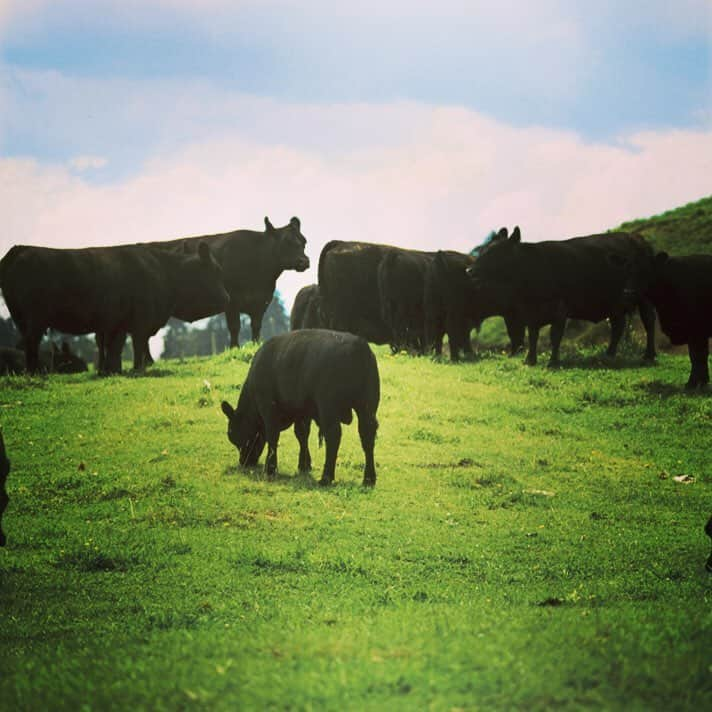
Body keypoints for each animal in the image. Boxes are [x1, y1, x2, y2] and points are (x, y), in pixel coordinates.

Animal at [0, 243, 227, 376]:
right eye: (215, 270)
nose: (227, 297)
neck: (164, 272)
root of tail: (20, 249)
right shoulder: (139, 322)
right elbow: (136, 345)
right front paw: (137, 369)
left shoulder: (117, 324)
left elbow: (115, 348)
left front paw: (112, 370)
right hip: (34, 320)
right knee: (31, 344)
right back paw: (35, 373)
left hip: (22, 321)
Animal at [221, 330, 378, 486]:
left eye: (237, 437)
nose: (244, 461)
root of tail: (358, 345)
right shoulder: (302, 411)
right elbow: (302, 434)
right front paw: (304, 464)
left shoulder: (268, 409)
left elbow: (273, 437)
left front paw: (270, 468)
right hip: (367, 407)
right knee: (367, 435)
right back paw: (369, 478)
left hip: (328, 408)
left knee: (333, 435)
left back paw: (326, 477)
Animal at [468, 228, 656, 368]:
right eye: (483, 250)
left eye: (495, 252)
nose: (470, 271)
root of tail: (637, 238)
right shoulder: (530, 312)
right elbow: (533, 335)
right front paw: (530, 360)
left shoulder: (559, 308)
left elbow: (555, 335)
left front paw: (553, 362)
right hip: (615, 303)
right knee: (618, 326)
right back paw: (609, 355)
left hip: (644, 297)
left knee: (649, 322)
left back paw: (648, 355)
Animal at [624, 253, 708, 390]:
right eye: (627, 270)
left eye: (646, 271)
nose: (628, 292)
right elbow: (698, 356)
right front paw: (700, 382)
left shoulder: (695, 330)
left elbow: (698, 356)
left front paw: (693, 383)